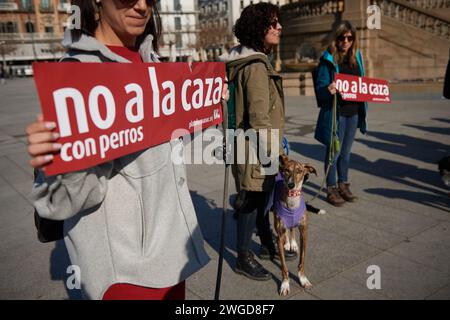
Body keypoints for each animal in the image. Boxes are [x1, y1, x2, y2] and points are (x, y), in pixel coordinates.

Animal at [274, 154, 316, 296]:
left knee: (291, 229)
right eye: (287, 170)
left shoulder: (304, 233)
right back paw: (288, 243)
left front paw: (303, 280)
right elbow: (283, 266)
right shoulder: (279, 235)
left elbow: (302, 261)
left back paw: (292, 244)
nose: (291, 185)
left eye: (299, 171)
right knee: (287, 230)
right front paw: (285, 284)